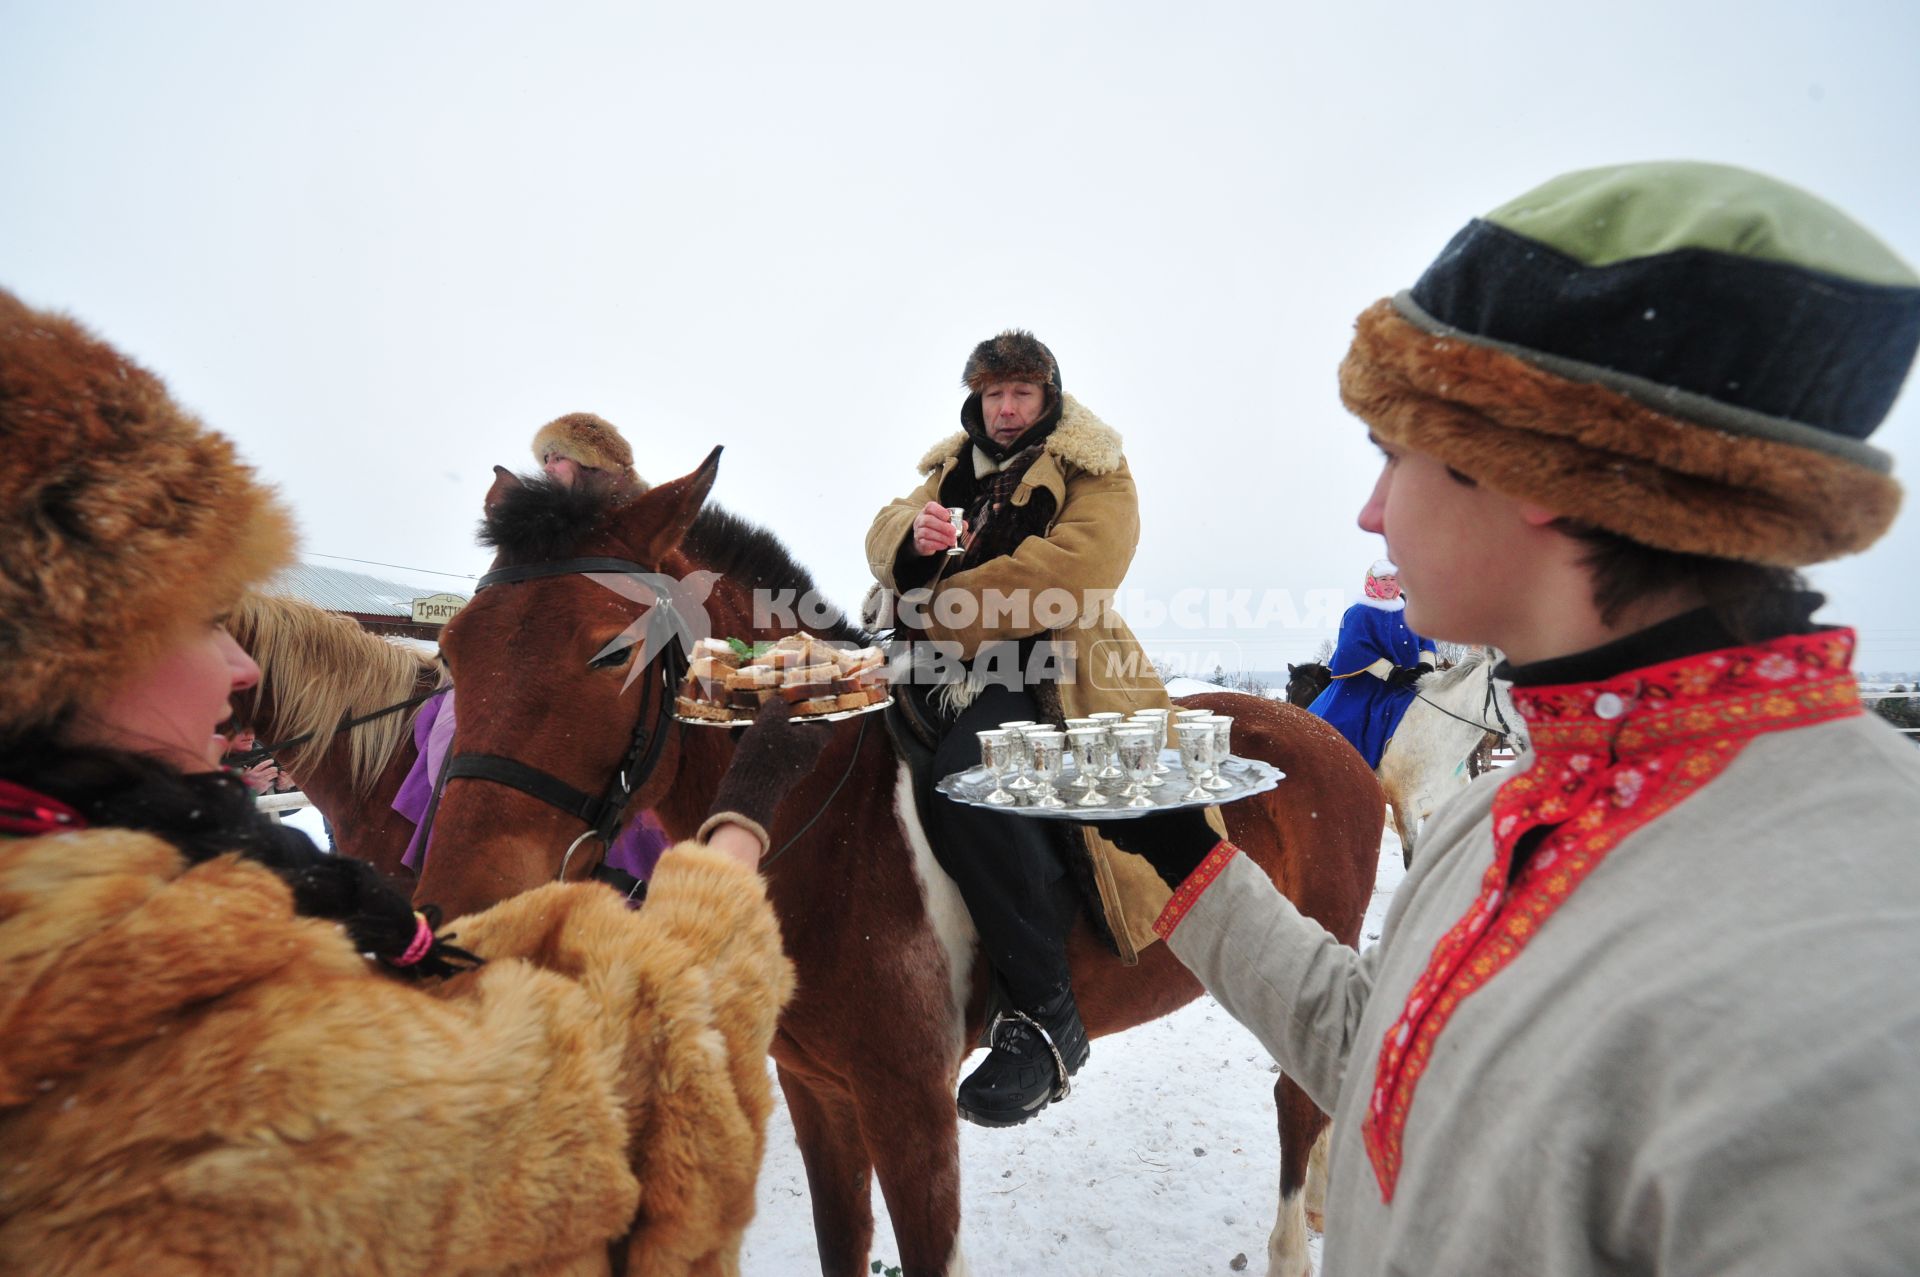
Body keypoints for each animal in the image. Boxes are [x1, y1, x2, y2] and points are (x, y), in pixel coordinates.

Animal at [412, 455, 1390, 1275]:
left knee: (1296, 1106)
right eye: (453, 650)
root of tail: (1326, 739)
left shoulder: (911, 1106)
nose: (456, 911)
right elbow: (841, 1242)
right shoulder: (818, 1092)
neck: (826, 824)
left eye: (611, 649)